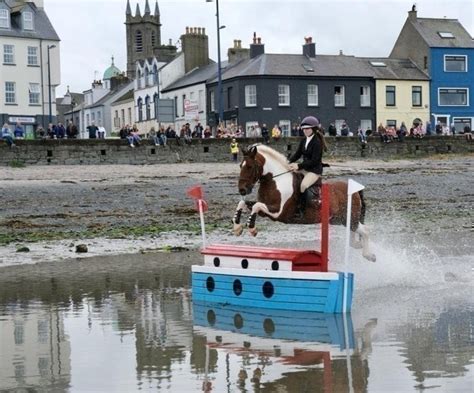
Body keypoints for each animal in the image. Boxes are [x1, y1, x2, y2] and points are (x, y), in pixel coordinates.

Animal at [231, 143, 376, 260]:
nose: (242, 190)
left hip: (350, 219)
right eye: (240, 166)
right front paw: (237, 227)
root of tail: (355, 190)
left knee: (365, 231)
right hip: (339, 220)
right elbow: (243, 204)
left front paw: (252, 228)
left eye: (250, 166)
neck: (274, 181)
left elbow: (256, 206)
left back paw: (369, 255)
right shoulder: (266, 210)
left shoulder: (278, 212)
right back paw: (359, 246)